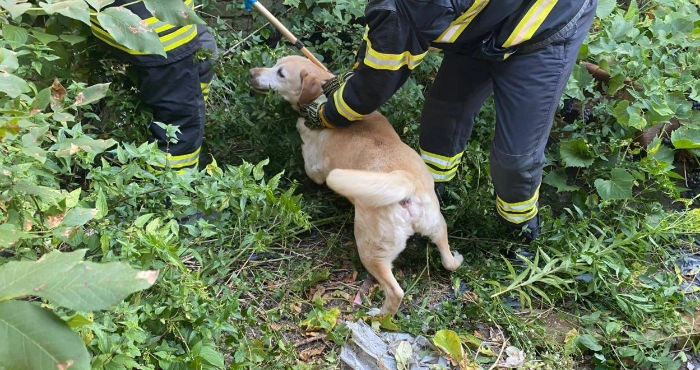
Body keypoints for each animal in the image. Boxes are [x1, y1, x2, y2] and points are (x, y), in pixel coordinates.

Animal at [249, 56, 462, 316]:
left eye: (280, 73)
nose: (252, 72)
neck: (323, 95)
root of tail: (405, 183)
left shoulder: (314, 166)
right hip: (437, 224)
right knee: (447, 260)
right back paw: (456, 259)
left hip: (370, 249)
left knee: (395, 292)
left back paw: (379, 316)